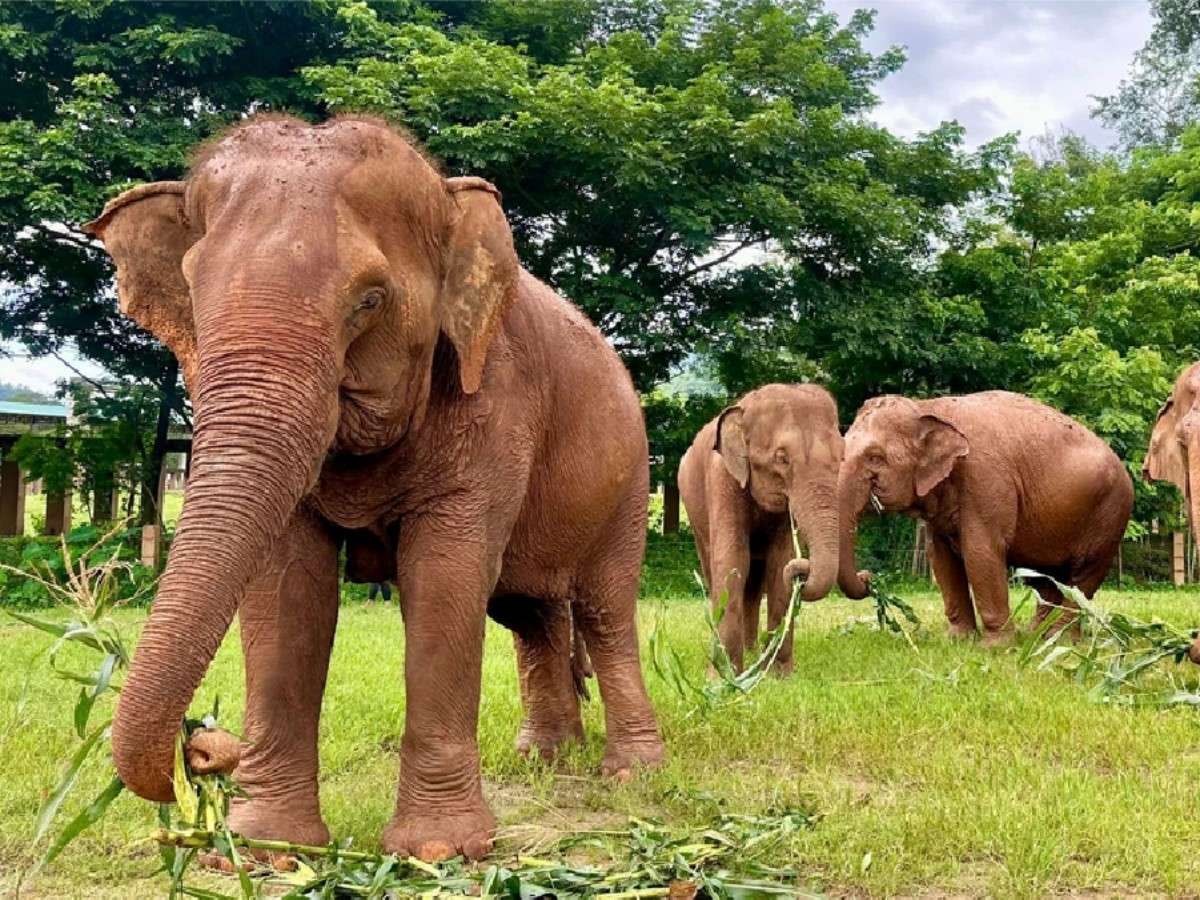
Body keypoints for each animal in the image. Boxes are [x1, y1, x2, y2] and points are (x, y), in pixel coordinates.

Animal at [83, 114, 664, 862]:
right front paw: (267, 849)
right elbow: (286, 590)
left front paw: (439, 852)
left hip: (630, 477)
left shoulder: (494, 398)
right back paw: (544, 758)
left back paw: (632, 773)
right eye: (194, 293)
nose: (206, 748)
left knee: (604, 608)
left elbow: (443, 578)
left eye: (369, 299)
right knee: (531, 613)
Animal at [677, 384, 843, 674]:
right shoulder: (722, 477)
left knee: (754, 586)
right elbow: (732, 559)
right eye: (782, 458)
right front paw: (723, 677)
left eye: (842, 456)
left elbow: (780, 562)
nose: (803, 572)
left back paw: (752, 652)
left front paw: (780, 675)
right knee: (714, 571)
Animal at [837, 391, 1133, 644]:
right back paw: (1035, 636)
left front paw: (996, 647)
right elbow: (940, 558)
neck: (927, 407)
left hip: (1108, 516)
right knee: (1045, 579)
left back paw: (1057, 640)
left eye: (875, 457)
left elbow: (981, 551)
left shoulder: (985, 478)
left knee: (1082, 579)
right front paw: (958, 640)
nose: (868, 577)